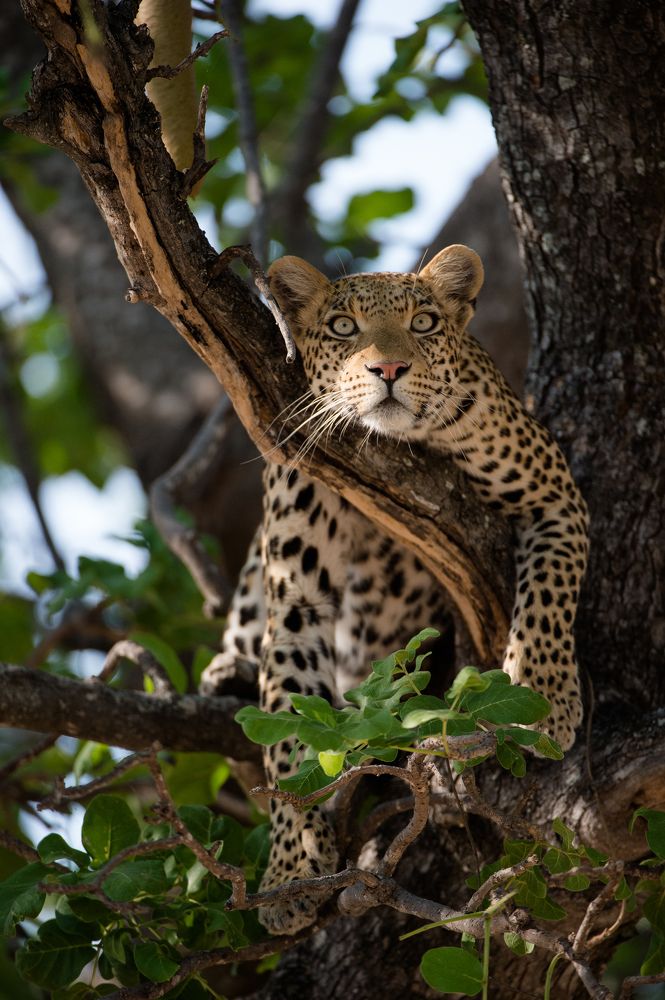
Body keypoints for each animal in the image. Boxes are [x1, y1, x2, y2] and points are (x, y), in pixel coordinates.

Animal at [200, 244, 589, 936]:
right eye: (343, 328)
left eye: (425, 323)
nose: (388, 368)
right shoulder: (296, 596)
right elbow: (290, 734)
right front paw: (292, 871)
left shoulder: (555, 497)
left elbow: (549, 592)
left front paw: (544, 696)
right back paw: (230, 673)